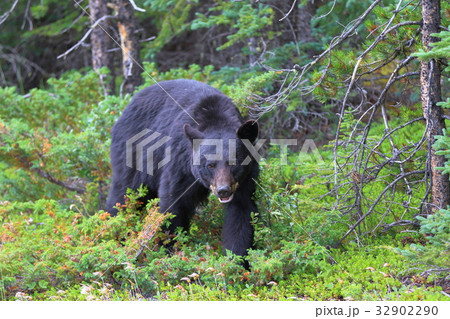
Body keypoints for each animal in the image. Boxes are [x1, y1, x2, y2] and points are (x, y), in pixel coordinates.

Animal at [106, 80, 258, 260]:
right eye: (210, 165)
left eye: (233, 163)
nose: (223, 190)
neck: (215, 117)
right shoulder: (180, 164)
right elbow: (173, 206)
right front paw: (170, 250)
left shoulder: (245, 179)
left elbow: (241, 215)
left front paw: (236, 260)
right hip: (132, 154)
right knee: (124, 194)